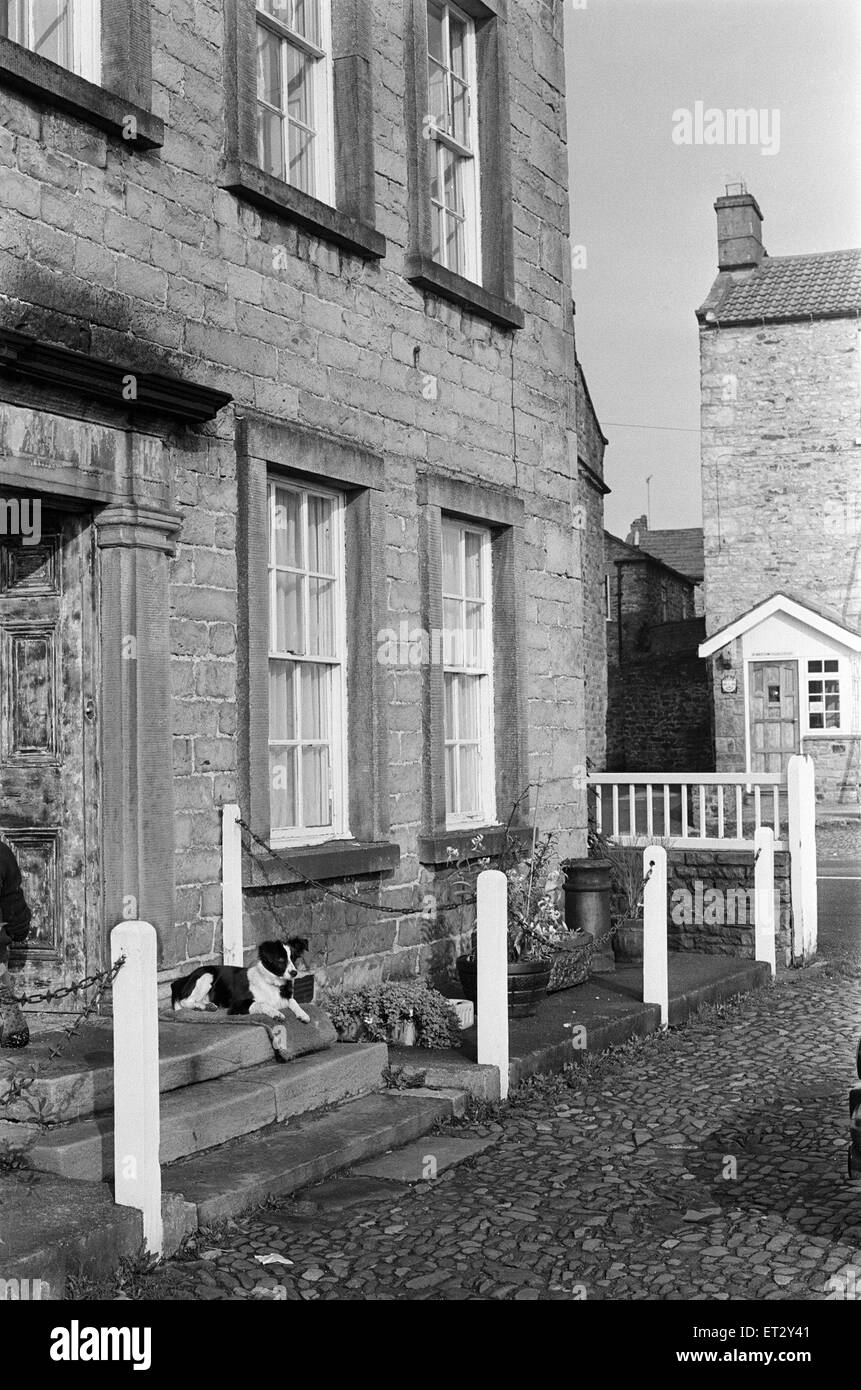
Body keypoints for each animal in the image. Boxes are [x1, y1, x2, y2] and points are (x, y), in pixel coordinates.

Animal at [170, 939, 311, 1028]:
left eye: (293, 959)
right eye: (280, 959)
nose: (294, 973)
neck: (271, 982)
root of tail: (185, 978)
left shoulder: (286, 997)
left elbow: (294, 1002)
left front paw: (303, 1014)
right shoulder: (237, 1005)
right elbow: (262, 1003)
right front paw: (276, 1013)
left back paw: (207, 1005)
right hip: (207, 975)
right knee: (184, 1001)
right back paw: (199, 1007)